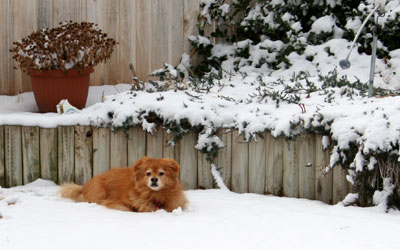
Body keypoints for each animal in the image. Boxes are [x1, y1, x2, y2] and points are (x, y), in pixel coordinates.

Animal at [59, 157, 188, 212]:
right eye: (148, 173)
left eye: (161, 173)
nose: (154, 179)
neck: (155, 196)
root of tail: (84, 187)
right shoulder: (116, 202)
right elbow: (127, 208)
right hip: (99, 191)